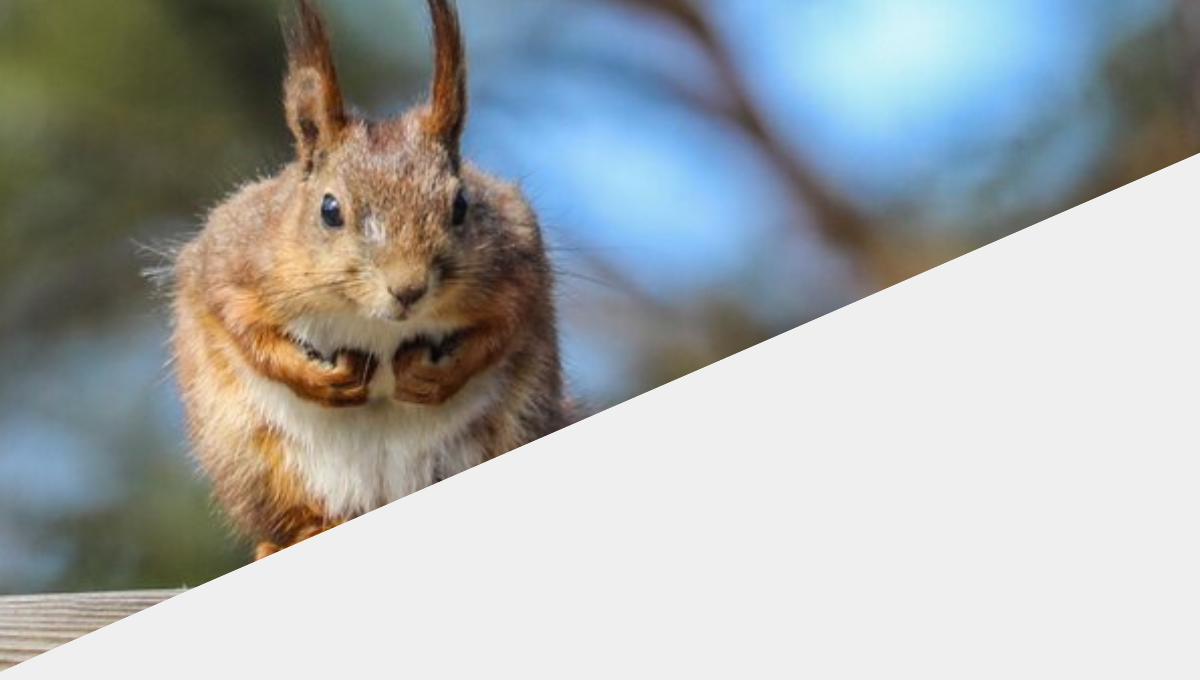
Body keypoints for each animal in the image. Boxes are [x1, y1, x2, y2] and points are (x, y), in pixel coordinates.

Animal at [170, 0, 568, 560]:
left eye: (461, 205)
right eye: (329, 210)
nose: (408, 289)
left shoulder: (519, 262)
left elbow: (506, 322)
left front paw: (437, 375)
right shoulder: (231, 259)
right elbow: (241, 324)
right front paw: (319, 378)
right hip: (247, 454)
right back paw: (299, 534)